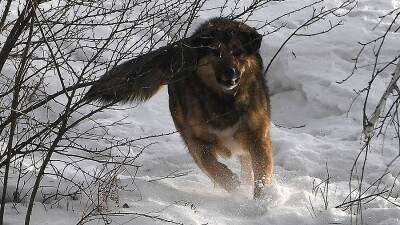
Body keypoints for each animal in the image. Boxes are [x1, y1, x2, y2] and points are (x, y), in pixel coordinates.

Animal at [84, 18, 272, 199]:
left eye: (238, 52)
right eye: (215, 52)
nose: (230, 73)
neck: (223, 100)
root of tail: (183, 44)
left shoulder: (257, 139)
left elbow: (262, 175)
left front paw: (263, 201)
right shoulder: (195, 140)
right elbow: (209, 163)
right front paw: (231, 182)